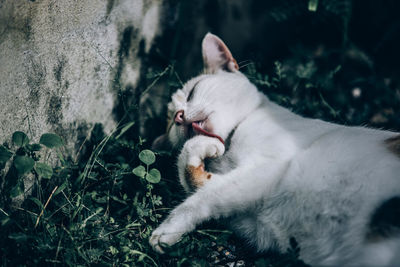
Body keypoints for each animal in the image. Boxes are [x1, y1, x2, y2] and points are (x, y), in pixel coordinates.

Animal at [148, 33, 400, 266]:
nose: (179, 117)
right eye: (171, 124)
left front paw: (166, 231)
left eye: (192, 92)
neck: (228, 149)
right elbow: (194, 178)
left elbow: (201, 197)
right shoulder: (248, 207)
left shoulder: (269, 167)